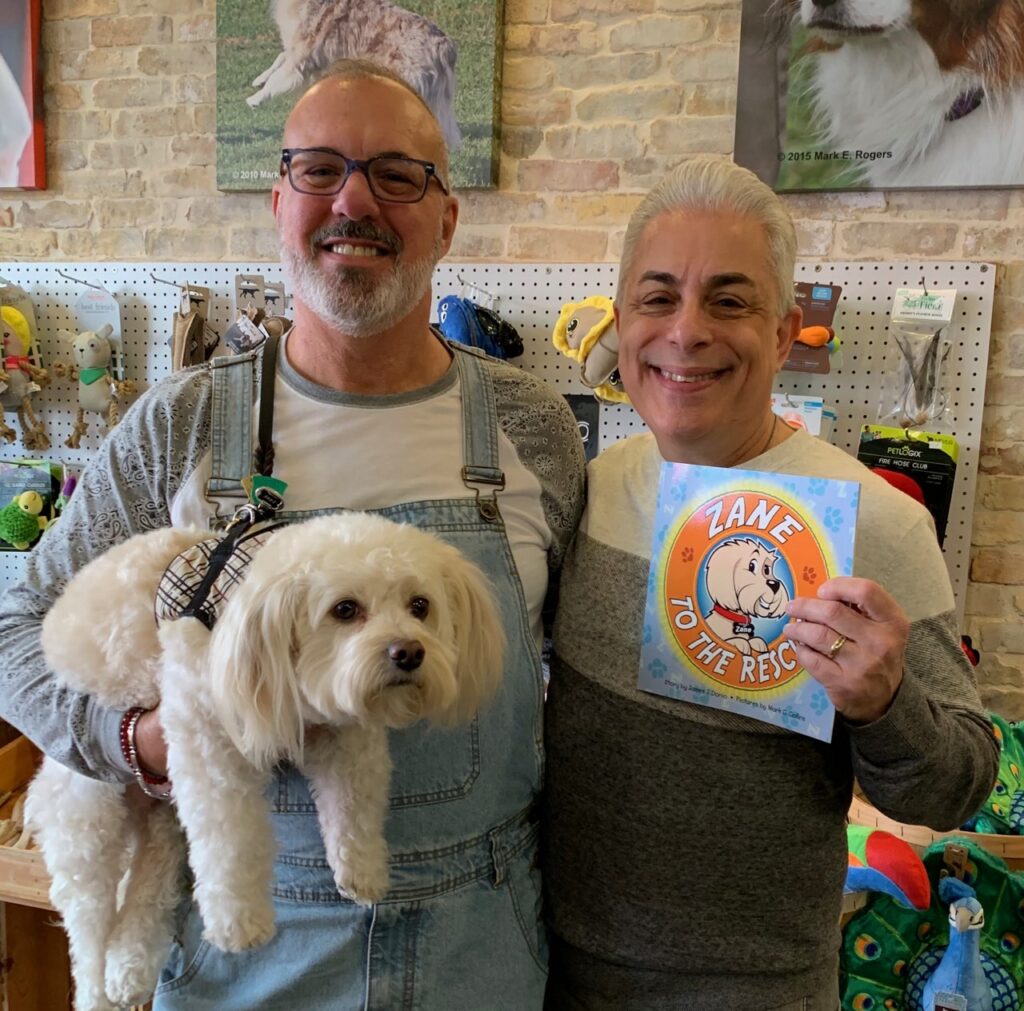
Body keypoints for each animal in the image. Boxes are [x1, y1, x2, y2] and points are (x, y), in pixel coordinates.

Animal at [24, 514, 503, 1011]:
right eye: (345, 609)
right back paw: (100, 989)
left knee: (152, 881)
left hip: (160, 822)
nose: (408, 652)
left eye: (420, 605)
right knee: (87, 935)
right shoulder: (205, 741)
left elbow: (354, 806)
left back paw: (130, 967)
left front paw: (362, 870)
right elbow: (230, 839)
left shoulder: (344, 735)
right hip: (88, 823)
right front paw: (239, 921)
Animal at [247, 0, 460, 150]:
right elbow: (279, 59)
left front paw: (256, 98)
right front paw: (259, 79)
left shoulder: (302, 58)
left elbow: (277, 79)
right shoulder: (301, 53)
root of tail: (444, 44)